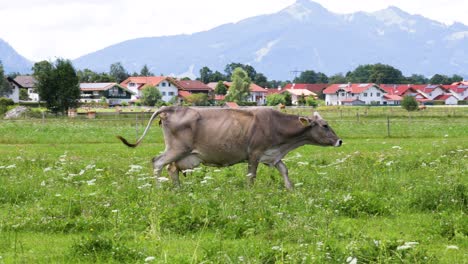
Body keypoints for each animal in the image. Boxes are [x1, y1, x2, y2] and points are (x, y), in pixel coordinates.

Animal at [119, 106, 342, 189]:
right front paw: (250, 192)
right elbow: (251, 176)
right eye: (325, 125)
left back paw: (178, 190)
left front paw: (291, 189)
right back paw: (158, 190)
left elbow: (284, 170)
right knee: (157, 163)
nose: (340, 141)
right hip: (176, 149)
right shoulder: (255, 153)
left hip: (185, 156)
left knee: (171, 169)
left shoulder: (273, 155)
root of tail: (173, 108)